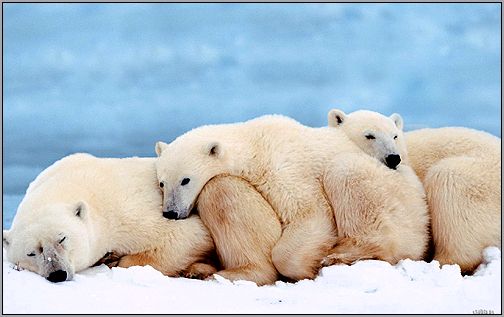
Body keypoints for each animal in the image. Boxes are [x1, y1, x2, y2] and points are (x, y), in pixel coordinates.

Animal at [1, 154, 216, 282]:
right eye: (31, 253)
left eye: (62, 239)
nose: (57, 274)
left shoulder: (128, 211)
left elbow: (189, 234)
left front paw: (115, 259)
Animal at [155, 114, 430, 278]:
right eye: (162, 183)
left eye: (185, 180)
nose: (171, 212)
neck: (254, 143)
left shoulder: (283, 167)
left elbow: (310, 212)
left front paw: (307, 267)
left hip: (391, 195)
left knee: (346, 174)